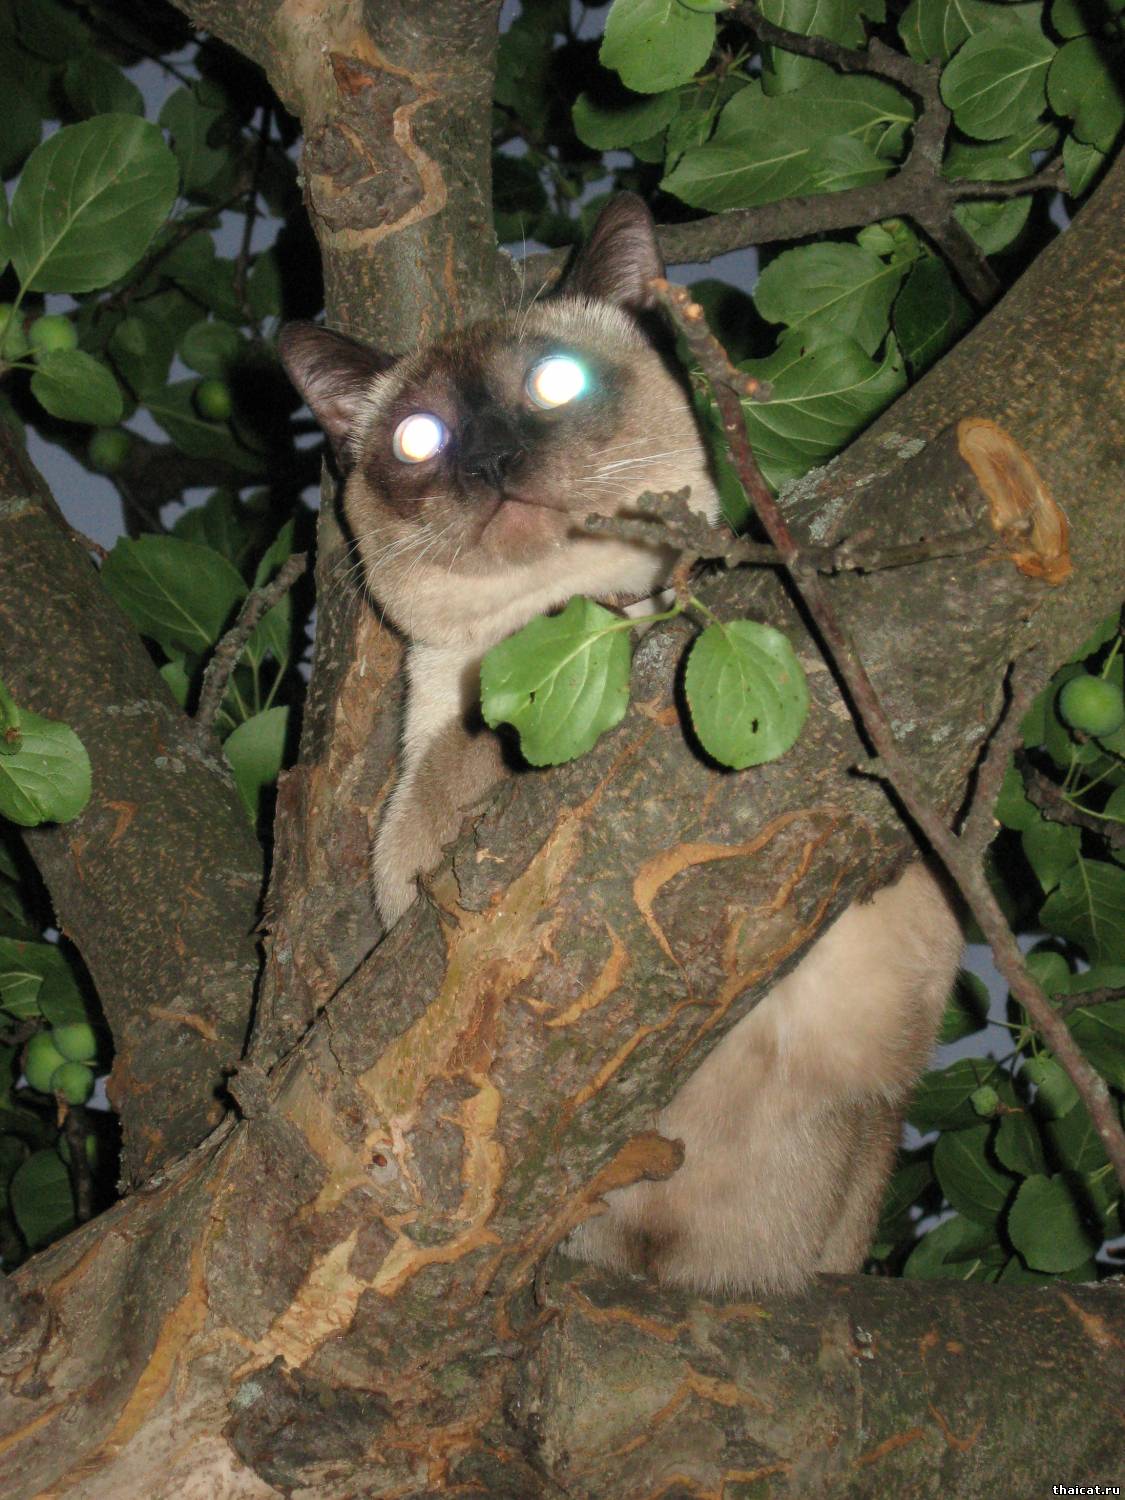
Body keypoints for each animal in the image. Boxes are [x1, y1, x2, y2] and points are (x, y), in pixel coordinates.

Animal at [279, 194, 962, 1294]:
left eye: (555, 384)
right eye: (422, 438)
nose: (491, 464)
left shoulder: (881, 992)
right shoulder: (412, 856)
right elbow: (470, 749)